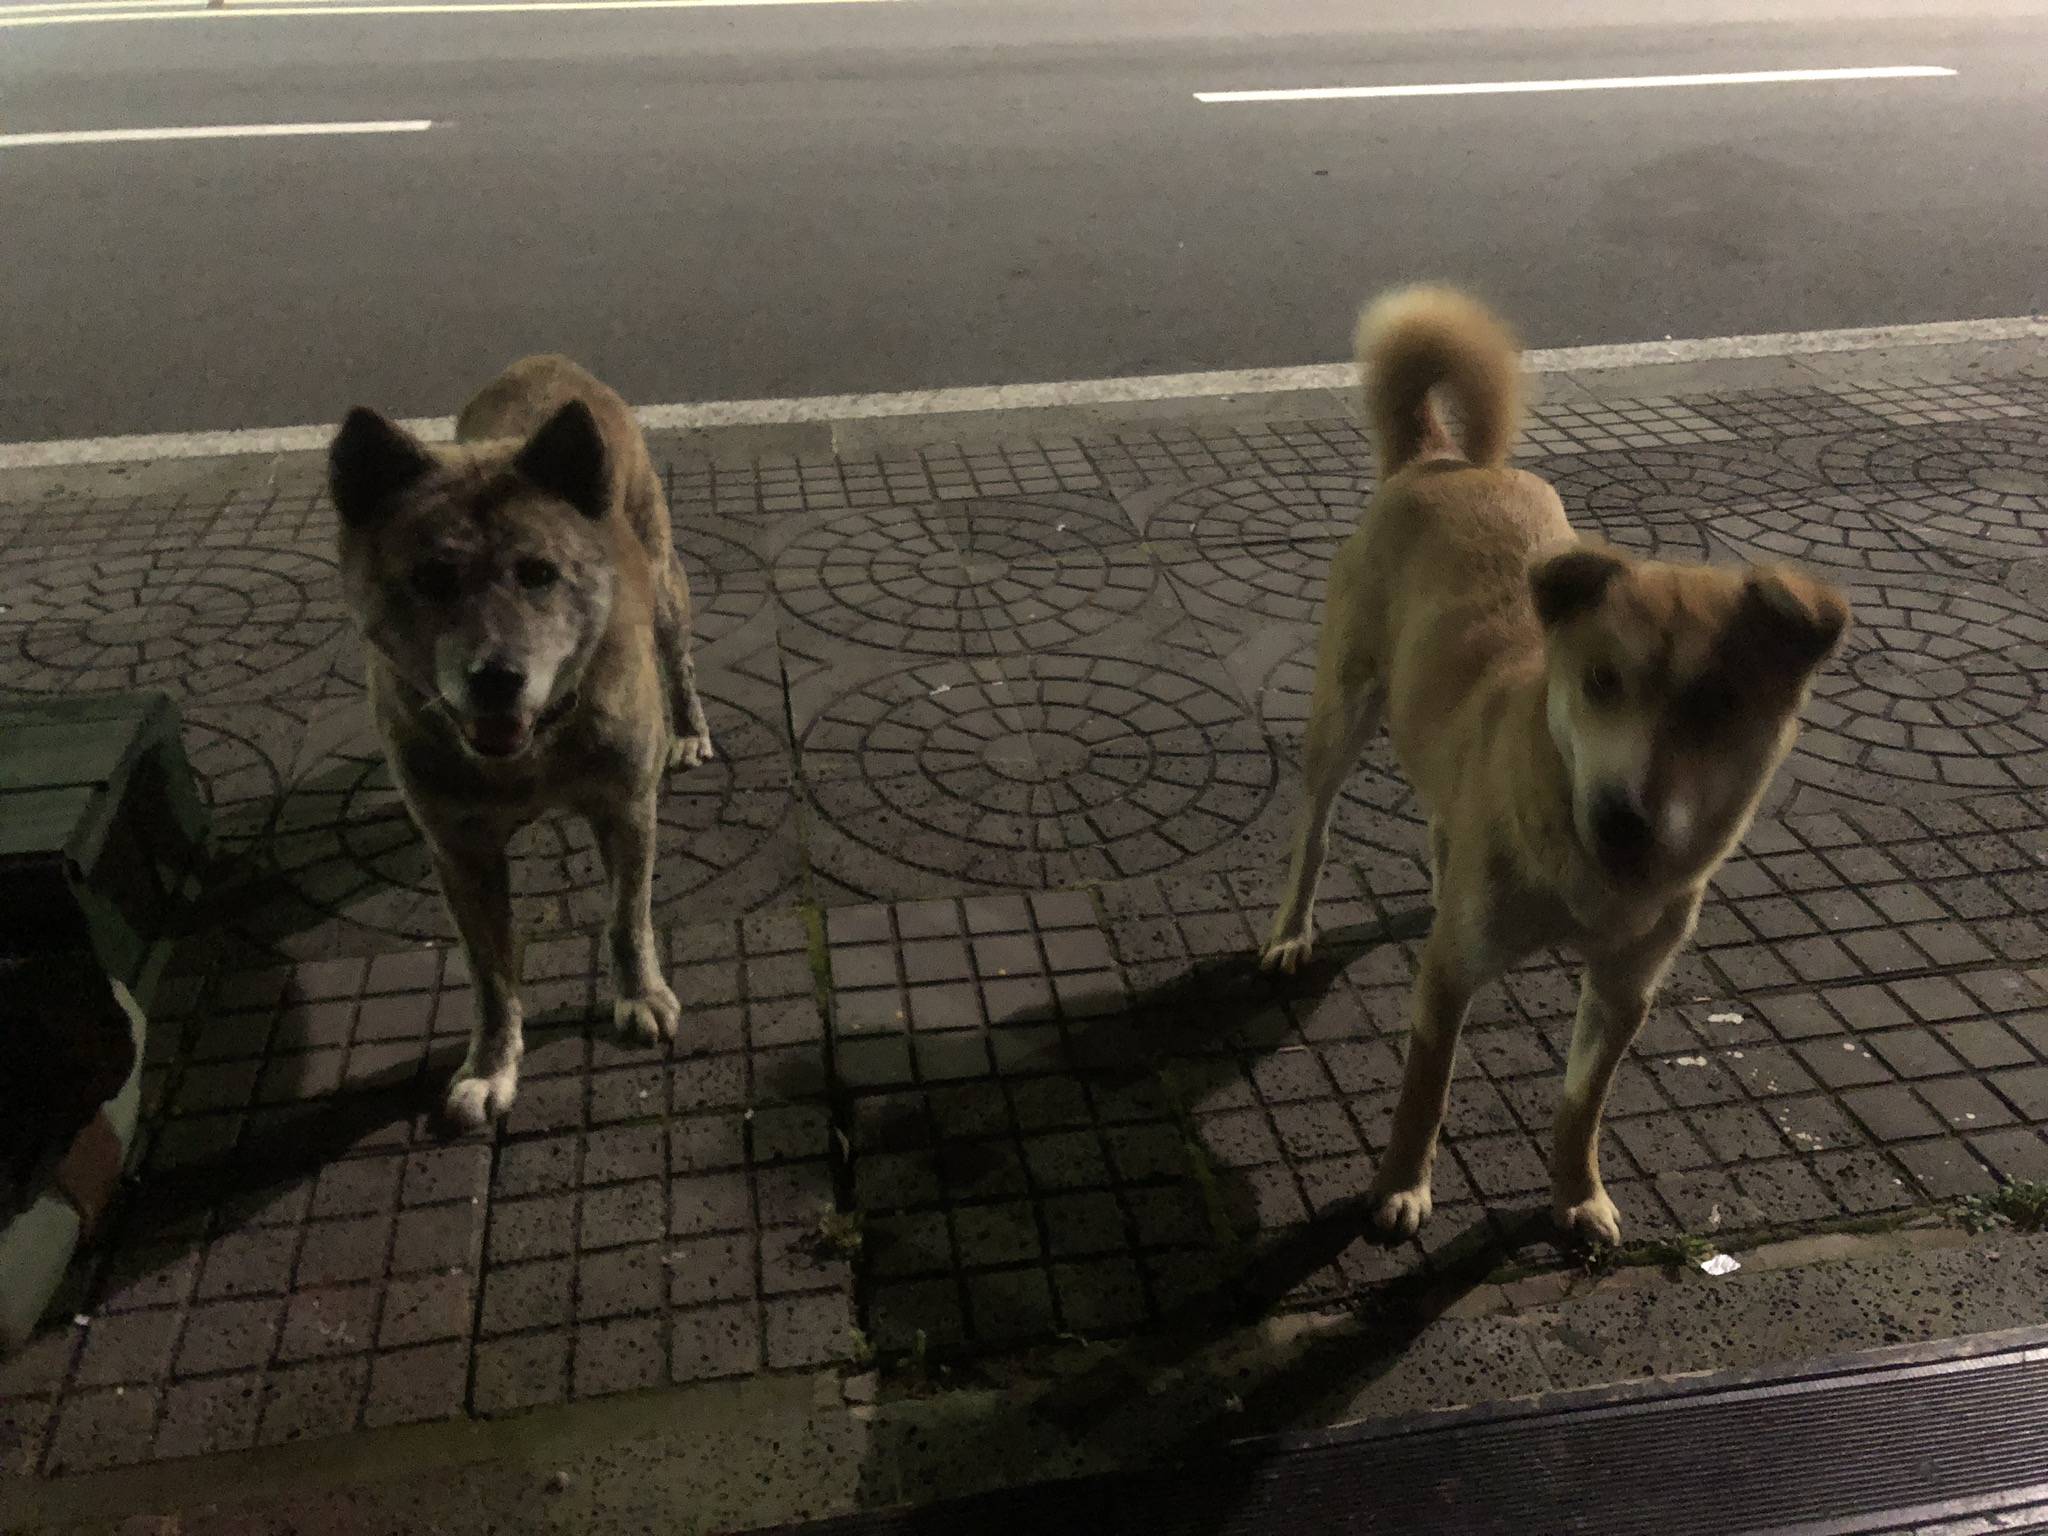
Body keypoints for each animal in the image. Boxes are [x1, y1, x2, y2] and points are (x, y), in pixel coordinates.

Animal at [331, 358, 716, 1130]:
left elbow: (627, 918)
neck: (534, 748)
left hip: (663, 584)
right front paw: (490, 1065)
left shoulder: (626, 807)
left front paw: (640, 995)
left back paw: (690, 729)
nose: (496, 678)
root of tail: (548, 364)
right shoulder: (459, 849)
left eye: (539, 573)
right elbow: (491, 973)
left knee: (680, 659)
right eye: (432, 578)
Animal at [1253, 288, 1851, 1253]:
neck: (1585, 871)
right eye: (1602, 681)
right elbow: (1424, 1092)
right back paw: (1290, 930)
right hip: (1341, 713)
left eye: (1718, 704)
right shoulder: (1449, 974)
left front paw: (1577, 1195)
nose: (1622, 817)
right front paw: (1401, 1188)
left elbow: (1583, 1104)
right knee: (1314, 828)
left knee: (1438, 818)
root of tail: (1442, 461)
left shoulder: (1624, 991)